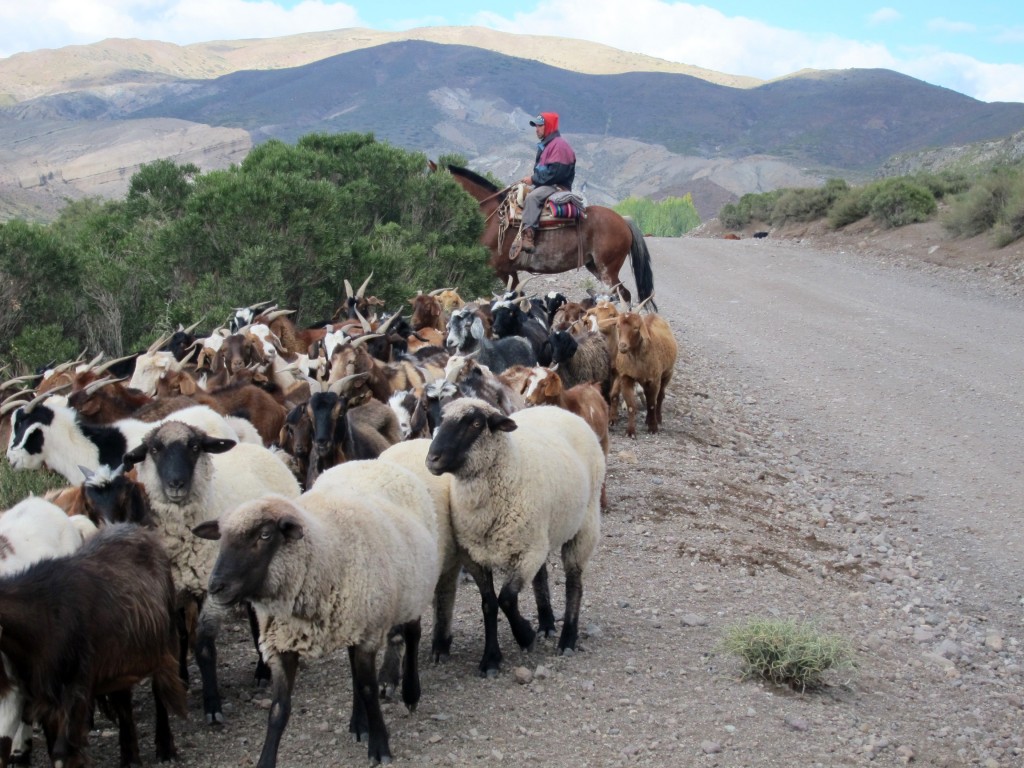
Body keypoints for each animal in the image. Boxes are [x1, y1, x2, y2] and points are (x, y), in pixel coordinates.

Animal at [122, 421, 299, 729]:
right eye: (154, 449)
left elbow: (204, 646)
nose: (176, 484)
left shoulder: (211, 588)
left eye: (194, 447)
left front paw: (212, 706)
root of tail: (264, 449)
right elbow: (179, 638)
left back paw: (263, 672)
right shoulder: (174, 589)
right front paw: (182, 679)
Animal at [193, 460, 438, 765]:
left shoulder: (368, 635)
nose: (215, 586)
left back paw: (411, 694)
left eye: (265, 535)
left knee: (413, 635)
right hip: (355, 620)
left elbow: (370, 690)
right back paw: (358, 723)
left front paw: (380, 747)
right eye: (222, 538)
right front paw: (265, 760)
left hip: (414, 587)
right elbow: (279, 709)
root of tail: (372, 461)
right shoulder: (282, 644)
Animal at [425, 399, 602, 675]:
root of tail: (557, 408)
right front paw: (491, 659)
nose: (433, 458)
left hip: (584, 525)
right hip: (541, 534)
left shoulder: (527, 553)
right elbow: (489, 604)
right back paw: (547, 624)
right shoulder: (473, 555)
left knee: (574, 582)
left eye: (476, 424)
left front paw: (525, 635)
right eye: (440, 419)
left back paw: (567, 638)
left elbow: (506, 599)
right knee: (541, 577)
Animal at [440, 162, 655, 309]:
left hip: (608, 270)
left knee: (623, 295)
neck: (495, 219)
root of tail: (623, 220)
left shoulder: (497, 268)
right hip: (594, 266)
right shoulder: (510, 271)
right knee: (624, 294)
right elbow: (519, 297)